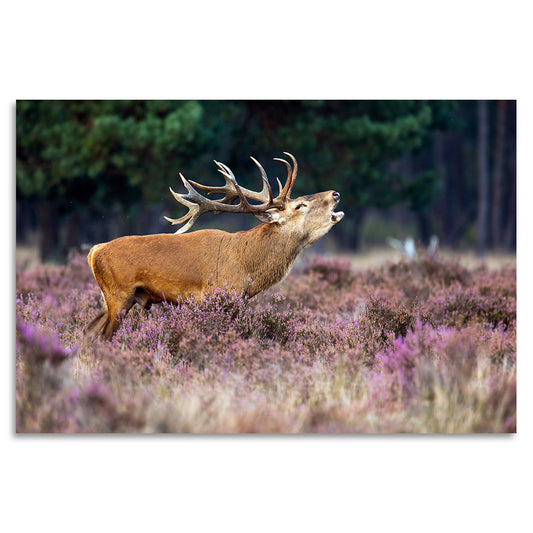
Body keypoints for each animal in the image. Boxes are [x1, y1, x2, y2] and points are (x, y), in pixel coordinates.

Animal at [85, 152, 342, 338]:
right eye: (299, 205)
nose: (335, 193)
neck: (247, 267)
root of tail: (94, 251)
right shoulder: (215, 296)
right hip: (118, 294)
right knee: (103, 337)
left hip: (111, 298)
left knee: (88, 331)